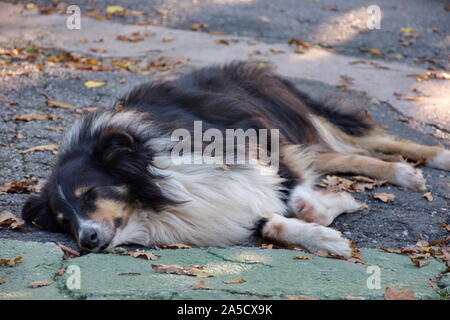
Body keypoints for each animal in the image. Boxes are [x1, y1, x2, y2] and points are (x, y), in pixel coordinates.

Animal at [22, 62, 450, 258]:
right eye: (63, 221)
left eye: (90, 193)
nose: (87, 240)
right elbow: (271, 223)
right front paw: (330, 230)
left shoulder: (252, 141)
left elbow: (297, 198)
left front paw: (331, 216)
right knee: (339, 156)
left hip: (289, 114)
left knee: (372, 139)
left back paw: (426, 163)